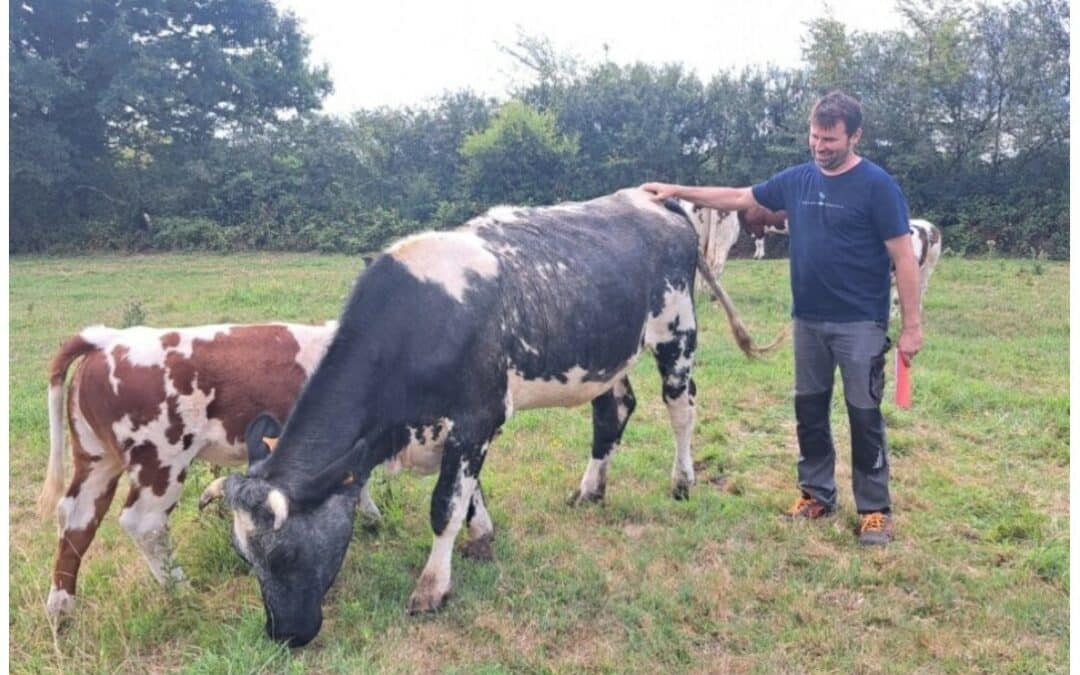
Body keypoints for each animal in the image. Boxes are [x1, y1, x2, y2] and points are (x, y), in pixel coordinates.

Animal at [39, 320, 381, 619]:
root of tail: (108, 339)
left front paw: (370, 518)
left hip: (96, 457)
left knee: (76, 517)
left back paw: (61, 610)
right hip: (160, 461)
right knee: (143, 523)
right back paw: (182, 592)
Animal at [198, 188, 781, 647]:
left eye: (287, 556)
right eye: (245, 558)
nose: (283, 635)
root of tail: (651, 197)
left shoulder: (477, 417)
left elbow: (444, 505)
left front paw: (433, 587)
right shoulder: (454, 430)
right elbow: (468, 492)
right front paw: (481, 536)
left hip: (677, 331)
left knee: (681, 406)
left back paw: (682, 480)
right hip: (605, 356)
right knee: (613, 413)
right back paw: (590, 489)